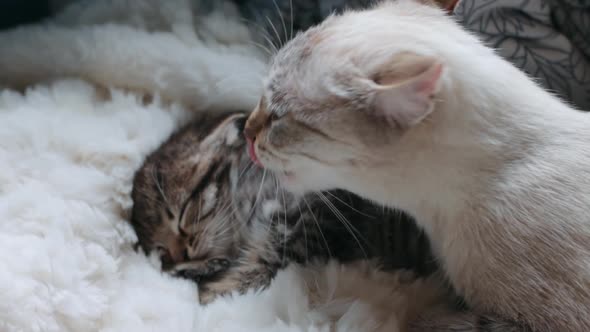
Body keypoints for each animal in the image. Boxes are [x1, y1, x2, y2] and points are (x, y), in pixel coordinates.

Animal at [130, 111, 434, 304]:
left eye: (181, 213)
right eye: (162, 249)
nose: (181, 254)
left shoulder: (315, 222)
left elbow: (267, 261)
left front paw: (211, 293)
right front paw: (196, 270)